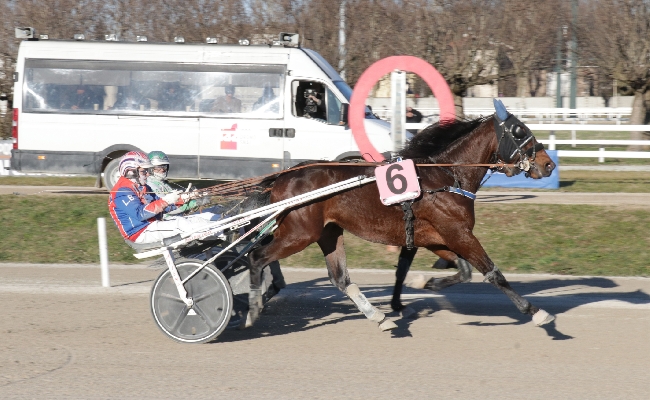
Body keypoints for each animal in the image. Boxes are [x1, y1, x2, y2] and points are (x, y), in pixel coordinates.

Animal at [246, 100, 556, 332]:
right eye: (519, 130)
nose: (549, 164)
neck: (445, 177)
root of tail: (282, 177)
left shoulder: (437, 237)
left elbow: (463, 271)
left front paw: (424, 284)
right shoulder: (458, 233)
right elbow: (493, 273)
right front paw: (536, 312)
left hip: (326, 232)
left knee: (339, 278)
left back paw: (377, 316)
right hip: (300, 233)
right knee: (257, 257)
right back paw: (253, 308)